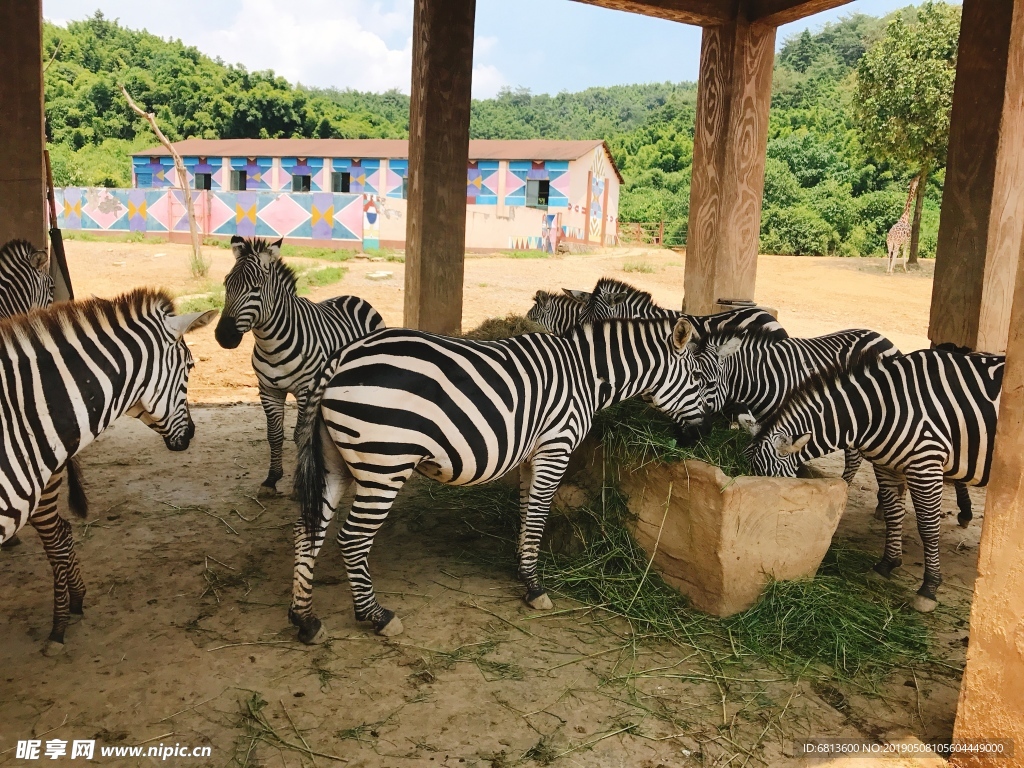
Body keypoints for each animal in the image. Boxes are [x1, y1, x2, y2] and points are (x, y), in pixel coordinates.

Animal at [211, 236, 385, 499]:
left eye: (255, 288)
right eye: (226, 284)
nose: (224, 336)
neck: (271, 345)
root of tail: (354, 297)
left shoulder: (305, 390)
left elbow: (299, 435)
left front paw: (300, 483)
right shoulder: (268, 391)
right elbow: (275, 436)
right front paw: (271, 480)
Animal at [288, 317, 704, 643]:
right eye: (700, 380)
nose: (702, 436)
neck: (586, 376)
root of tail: (343, 355)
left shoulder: (531, 455)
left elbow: (525, 513)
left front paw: (522, 571)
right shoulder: (556, 447)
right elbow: (537, 518)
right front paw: (534, 588)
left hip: (335, 462)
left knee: (308, 530)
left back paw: (305, 620)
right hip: (385, 463)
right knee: (352, 538)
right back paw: (376, 616)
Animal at [745, 348, 999, 614]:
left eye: (768, 476)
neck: (882, 410)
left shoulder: (925, 464)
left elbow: (928, 528)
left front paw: (928, 589)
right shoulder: (887, 466)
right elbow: (893, 514)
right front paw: (887, 565)